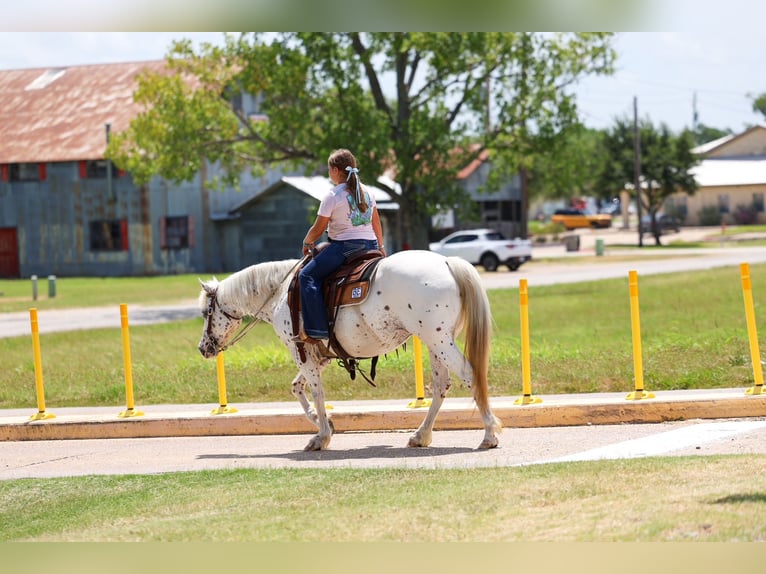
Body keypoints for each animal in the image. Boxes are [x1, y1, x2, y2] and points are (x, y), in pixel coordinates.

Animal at [197, 249, 502, 452]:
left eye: (205, 312)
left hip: (438, 340)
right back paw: (421, 435)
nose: (203, 348)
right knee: (441, 385)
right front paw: (323, 423)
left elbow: (317, 392)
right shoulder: (318, 357)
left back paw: (489, 434)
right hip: (434, 342)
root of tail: (447, 261)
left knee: (469, 375)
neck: (280, 293)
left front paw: (321, 436)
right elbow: (297, 387)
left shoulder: (300, 351)